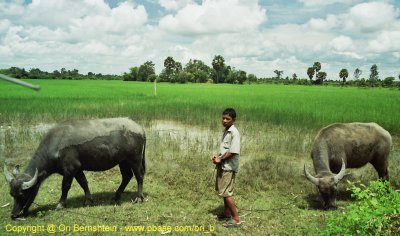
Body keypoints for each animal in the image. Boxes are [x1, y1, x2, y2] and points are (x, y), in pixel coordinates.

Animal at [3, 117, 147, 218]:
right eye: (11, 194)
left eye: (22, 194)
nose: (14, 214)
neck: (56, 145)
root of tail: (140, 128)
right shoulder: (77, 169)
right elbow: (84, 183)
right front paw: (88, 201)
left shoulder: (70, 169)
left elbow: (65, 186)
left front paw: (60, 204)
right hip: (123, 161)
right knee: (127, 176)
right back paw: (116, 196)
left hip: (135, 159)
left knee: (139, 176)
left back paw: (139, 197)